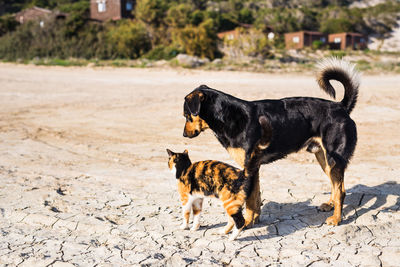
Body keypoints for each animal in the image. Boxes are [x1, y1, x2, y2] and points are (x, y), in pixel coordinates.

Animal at [181, 57, 360, 227]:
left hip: (332, 159)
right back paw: (330, 205)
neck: (228, 116)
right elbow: (255, 198)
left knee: (341, 191)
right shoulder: (254, 169)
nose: (183, 134)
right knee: (336, 187)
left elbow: (249, 201)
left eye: (187, 115)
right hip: (323, 158)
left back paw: (336, 219)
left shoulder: (250, 167)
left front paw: (247, 222)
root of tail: (341, 107)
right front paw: (254, 219)